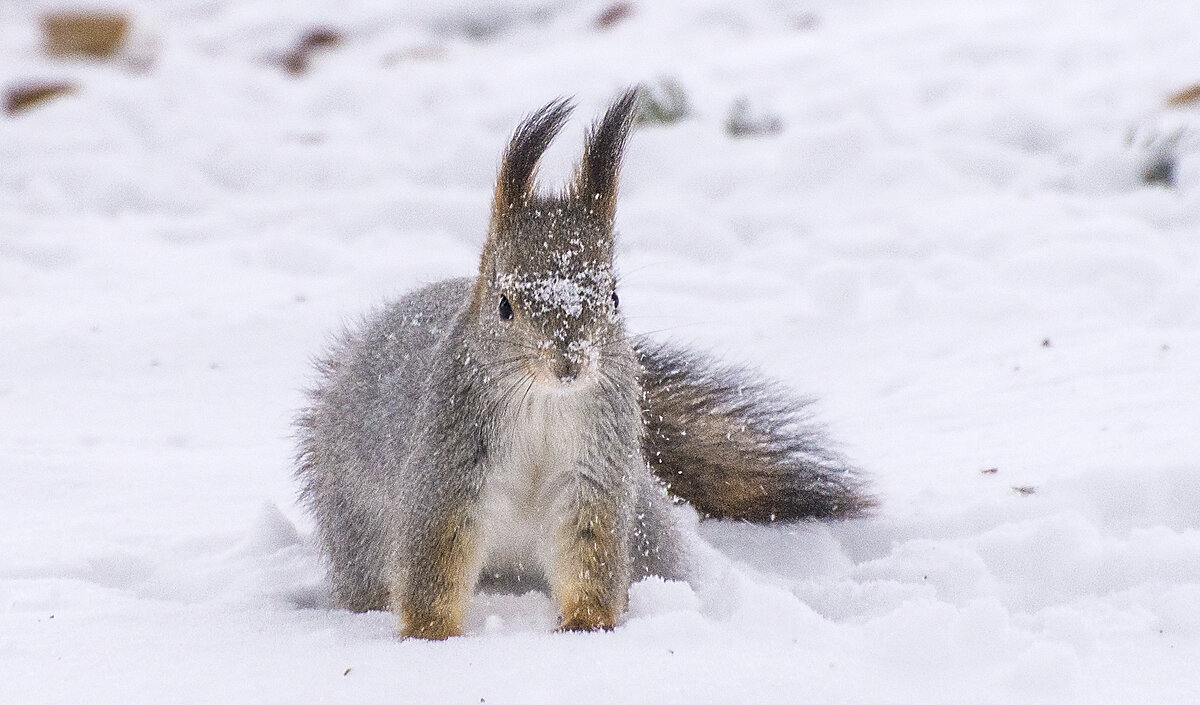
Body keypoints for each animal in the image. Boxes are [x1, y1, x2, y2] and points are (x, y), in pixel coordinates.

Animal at [291, 91, 873, 642]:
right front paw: (432, 638)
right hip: (358, 526)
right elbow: (434, 561)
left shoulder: (595, 470)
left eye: (614, 297)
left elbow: (589, 550)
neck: (544, 403)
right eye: (505, 305)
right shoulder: (446, 466)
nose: (570, 362)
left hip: (645, 526)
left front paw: (585, 628)